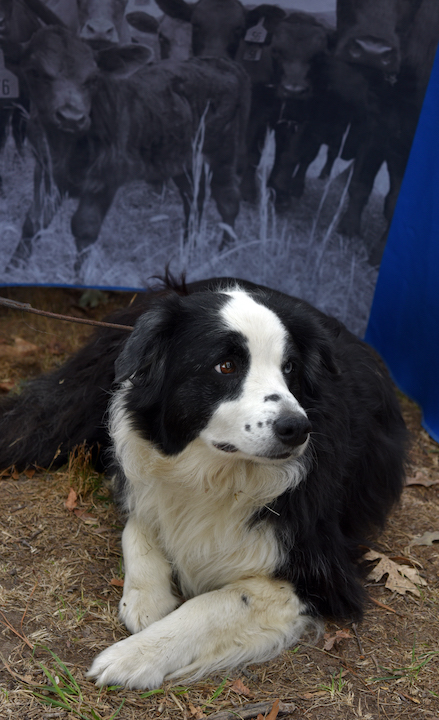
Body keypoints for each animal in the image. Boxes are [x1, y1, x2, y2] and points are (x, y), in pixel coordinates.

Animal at [0, 276, 408, 688]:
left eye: (290, 367)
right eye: (225, 366)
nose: (297, 428)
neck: (217, 475)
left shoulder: (321, 576)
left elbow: (214, 603)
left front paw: (135, 655)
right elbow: (138, 524)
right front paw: (146, 599)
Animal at [8, 26, 251, 272]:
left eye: (93, 78)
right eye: (35, 72)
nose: (71, 117)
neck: (65, 145)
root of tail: (222, 63)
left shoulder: (107, 177)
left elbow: (85, 227)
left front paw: (79, 275)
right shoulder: (45, 171)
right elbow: (34, 221)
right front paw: (14, 268)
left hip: (222, 154)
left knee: (228, 200)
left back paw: (224, 253)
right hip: (182, 160)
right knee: (194, 199)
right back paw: (187, 253)